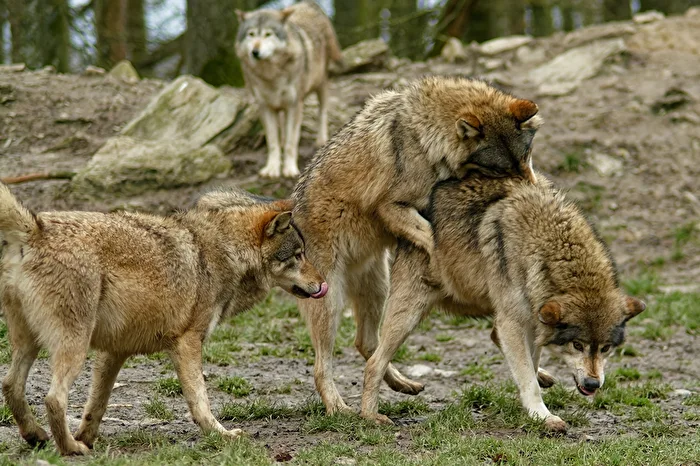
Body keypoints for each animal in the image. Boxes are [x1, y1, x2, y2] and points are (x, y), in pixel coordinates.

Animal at [0, 184, 327, 455]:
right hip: (73, 346)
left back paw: (38, 436)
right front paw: (220, 435)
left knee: (11, 385)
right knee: (53, 399)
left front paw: (87, 437)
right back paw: (70, 449)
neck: (225, 251)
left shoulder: (114, 352)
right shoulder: (188, 342)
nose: (323, 284)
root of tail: (36, 228)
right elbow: (200, 400)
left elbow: (97, 405)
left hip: (30, 343)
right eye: (298, 255)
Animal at [235, 1, 342, 178]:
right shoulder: (265, 107)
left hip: (320, 84)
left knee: (322, 111)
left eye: (268, 34)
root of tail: (309, 4)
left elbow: (292, 142)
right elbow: (273, 142)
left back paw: (321, 139)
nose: (255, 52)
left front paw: (290, 169)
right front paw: (271, 169)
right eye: (251, 34)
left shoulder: (294, 104)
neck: (271, 77)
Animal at [292, 75, 543, 414]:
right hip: (329, 303)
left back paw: (403, 384)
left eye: (525, 157)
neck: (427, 141)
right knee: (323, 367)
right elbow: (431, 238)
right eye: (499, 170)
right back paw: (338, 408)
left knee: (367, 344)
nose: (531, 191)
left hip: (377, 288)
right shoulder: (390, 206)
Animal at [359, 172, 646, 431]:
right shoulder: (514, 321)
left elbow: (530, 366)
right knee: (374, 361)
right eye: (577, 345)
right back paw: (370, 415)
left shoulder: (533, 320)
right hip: (409, 315)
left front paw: (534, 406)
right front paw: (544, 417)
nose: (593, 385)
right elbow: (527, 378)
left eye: (606, 348)